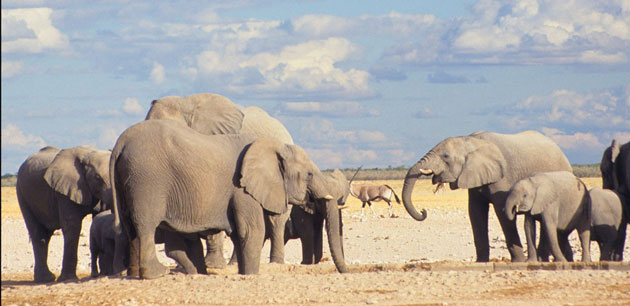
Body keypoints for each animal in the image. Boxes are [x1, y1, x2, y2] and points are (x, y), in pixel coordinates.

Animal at [15, 146, 112, 282]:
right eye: (97, 177)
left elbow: (100, 218)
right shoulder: (64, 191)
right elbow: (72, 225)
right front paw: (68, 279)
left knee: (46, 235)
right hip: (22, 194)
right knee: (38, 234)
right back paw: (45, 279)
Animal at [108, 119, 346, 280]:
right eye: (310, 174)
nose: (345, 272)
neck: (271, 146)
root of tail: (121, 141)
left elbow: (240, 234)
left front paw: (244, 273)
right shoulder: (242, 189)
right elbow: (252, 230)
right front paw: (251, 275)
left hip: (131, 181)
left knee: (132, 229)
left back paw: (137, 273)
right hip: (147, 180)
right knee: (146, 225)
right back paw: (157, 273)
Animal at [402, 130, 576, 262]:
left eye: (445, 156)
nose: (423, 211)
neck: (470, 141)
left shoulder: (502, 178)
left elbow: (503, 211)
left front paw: (518, 261)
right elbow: (475, 212)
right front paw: (481, 262)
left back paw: (541, 260)